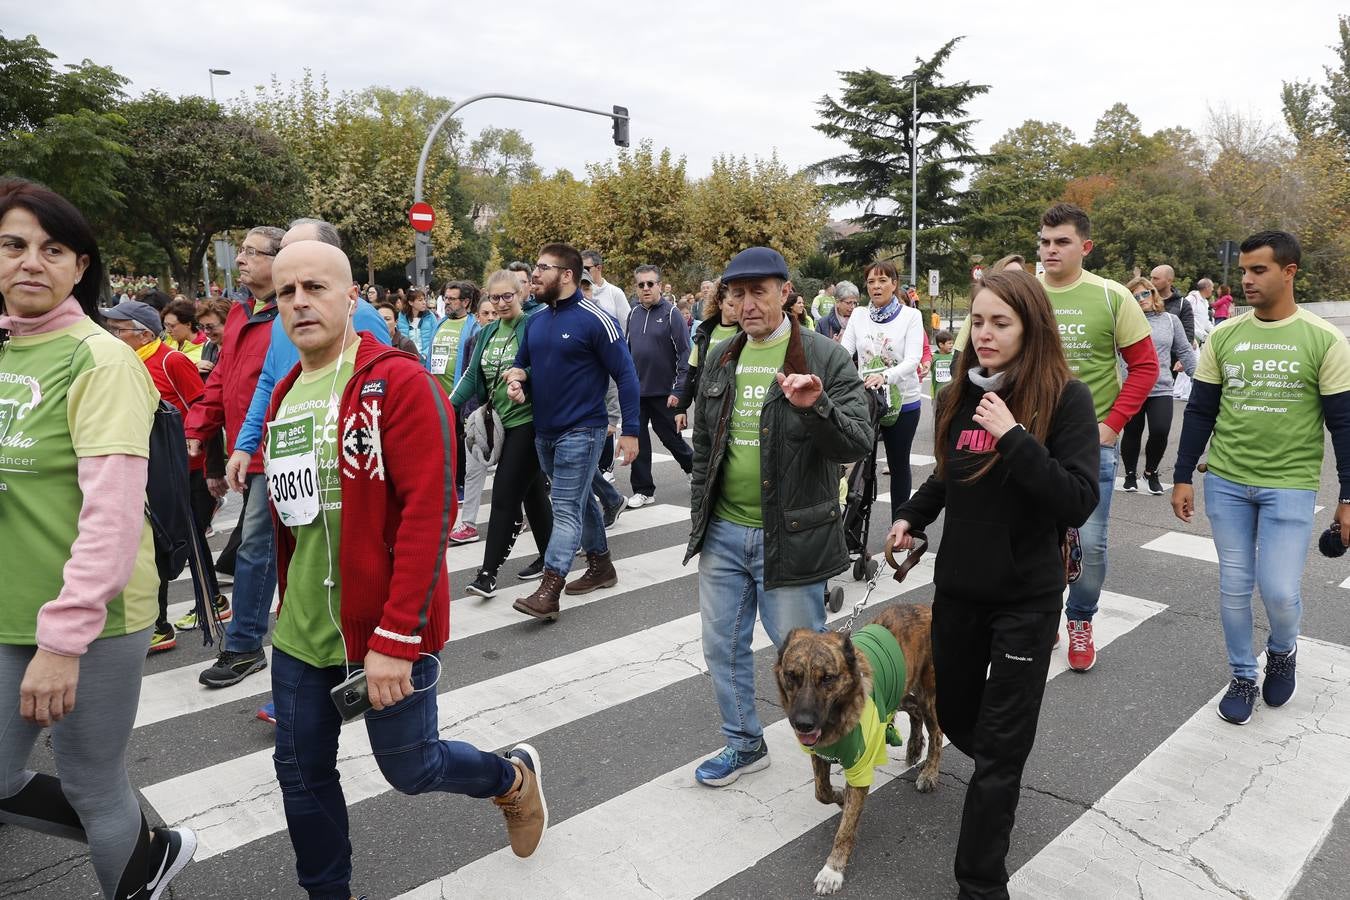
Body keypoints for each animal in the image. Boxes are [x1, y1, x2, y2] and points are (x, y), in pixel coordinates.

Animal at [777, 604, 945, 895]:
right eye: (792, 676)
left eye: (827, 678)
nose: (803, 724)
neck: (837, 714)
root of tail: (924, 607)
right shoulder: (819, 753)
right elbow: (821, 792)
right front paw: (841, 797)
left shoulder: (860, 767)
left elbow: (845, 829)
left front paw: (832, 870)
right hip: (899, 691)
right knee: (914, 711)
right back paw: (914, 747)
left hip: (927, 692)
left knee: (936, 732)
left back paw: (929, 772)